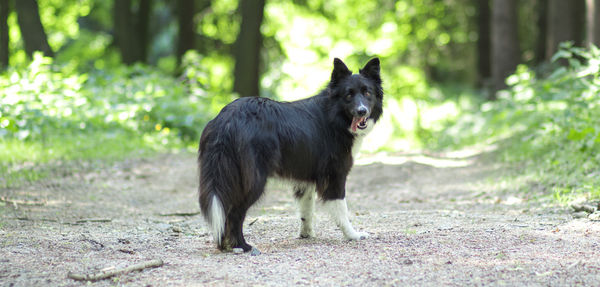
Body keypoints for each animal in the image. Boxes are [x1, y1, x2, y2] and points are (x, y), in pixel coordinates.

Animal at [198, 57, 384, 253]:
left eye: (367, 93)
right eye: (348, 95)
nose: (362, 111)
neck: (335, 116)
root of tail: (226, 120)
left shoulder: (306, 178)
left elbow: (306, 209)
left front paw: (306, 234)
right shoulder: (335, 176)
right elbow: (341, 209)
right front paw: (353, 235)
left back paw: (223, 245)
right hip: (253, 181)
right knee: (234, 213)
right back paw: (242, 246)